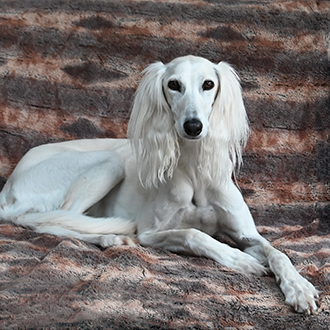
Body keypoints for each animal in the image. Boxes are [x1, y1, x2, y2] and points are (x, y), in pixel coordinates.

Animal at [0, 55, 320, 314]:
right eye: (174, 84)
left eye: (208, 84)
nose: (193, 126)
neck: (195, 171)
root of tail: (8, 187)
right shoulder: (150, 233)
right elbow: (194, 234)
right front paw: (241, 261)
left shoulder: (246, 234)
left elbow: (278, 253)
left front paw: (300, 288)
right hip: (107, 163)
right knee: (52, 221)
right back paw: (110, 237)